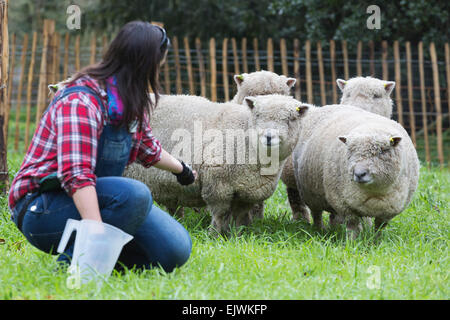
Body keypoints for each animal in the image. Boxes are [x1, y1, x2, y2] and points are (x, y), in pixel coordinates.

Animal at [125, 94, 312, 234]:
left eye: (290, 119)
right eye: (257, 115)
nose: (268, 137)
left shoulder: (247, 192)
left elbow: (240, 216)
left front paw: (239, 235)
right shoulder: (217, 184)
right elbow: (220, 214)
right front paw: (215, 235)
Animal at [292, 105, 418, 238]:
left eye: (382, 151)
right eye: (350, 150)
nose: (359, 174)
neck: (375, 191)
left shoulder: (388, 212)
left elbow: (379, 228)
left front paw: (376, 240)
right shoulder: (344, 205)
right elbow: (353, 227)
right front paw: (352, 241)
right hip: (311, 196)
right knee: (317, 215)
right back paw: (320, 230)